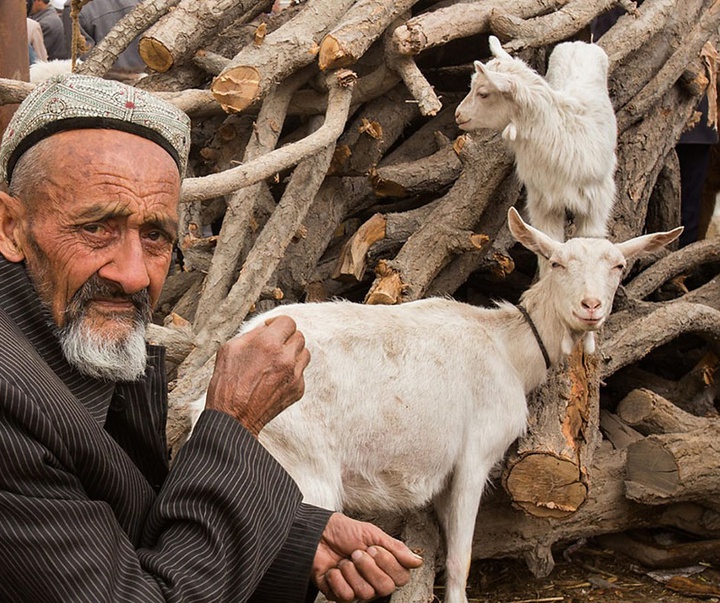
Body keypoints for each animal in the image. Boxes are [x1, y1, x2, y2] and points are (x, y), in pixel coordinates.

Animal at [187, 209, 680, 603]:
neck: (508, 348)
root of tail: (204, 400)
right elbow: (460, 558)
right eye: (557, 264)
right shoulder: (474, 457)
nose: (590, 306)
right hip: (300, 465)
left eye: (618, 266)